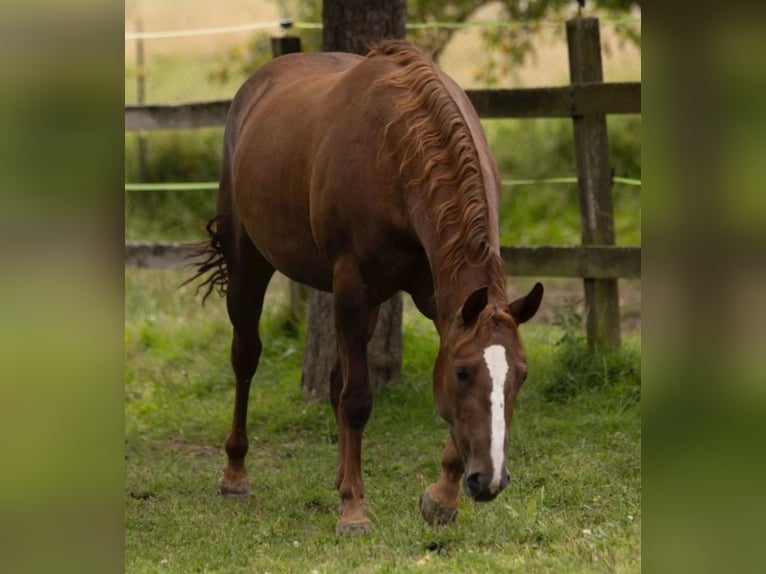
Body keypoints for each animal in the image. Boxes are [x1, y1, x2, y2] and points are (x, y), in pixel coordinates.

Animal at [188, 40, 544, 540]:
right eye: (463, 373)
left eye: (522, 374)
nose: (489, 480)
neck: (396, 155)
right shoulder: (353, 286)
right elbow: (358, 399)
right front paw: (354, 510)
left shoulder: (438, 300)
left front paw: (442, 496)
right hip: (249, 264)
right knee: (246, 358)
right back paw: (235, 475)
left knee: (334, 380)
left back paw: (340, 476)